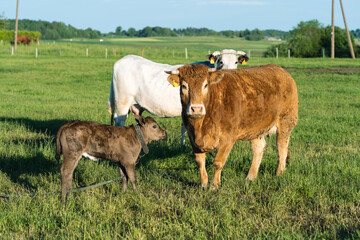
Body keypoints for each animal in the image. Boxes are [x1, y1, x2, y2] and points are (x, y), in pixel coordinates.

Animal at [107, 49, 248, 143]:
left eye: (236, 62)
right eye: (220, 62)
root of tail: (124, 59)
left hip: (135, 105)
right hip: (122, 103)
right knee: (119, 122)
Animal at [166, 64, 298, 189]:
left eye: (205, 85)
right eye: (184, 86)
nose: (196, 109)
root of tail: (280, 70)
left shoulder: (227, 139)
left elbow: (218, 163)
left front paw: (214, 186)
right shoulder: (191, 137)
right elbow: (200, 162)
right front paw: (203, 184)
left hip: (286, 122)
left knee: (282, 149)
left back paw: (279, 173)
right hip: (256, 127)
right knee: (259, 148)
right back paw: (250, 177)